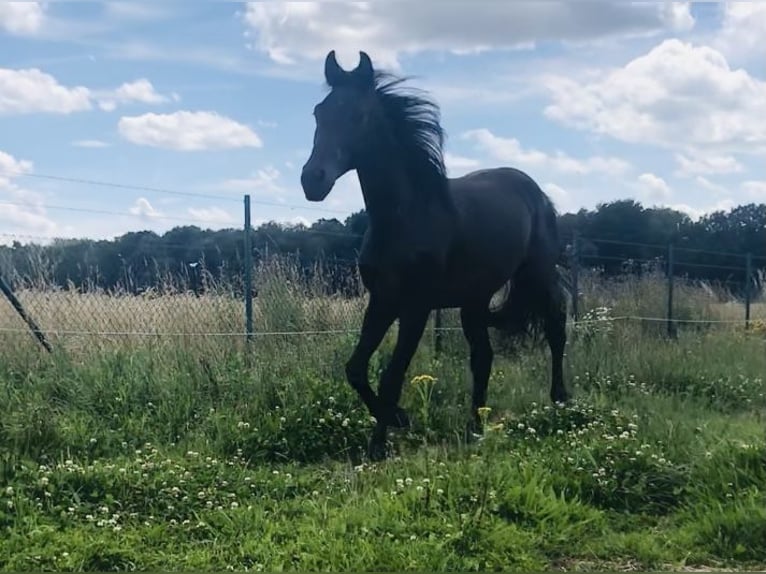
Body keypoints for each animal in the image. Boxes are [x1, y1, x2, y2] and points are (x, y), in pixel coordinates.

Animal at [300, 50, 568, 464]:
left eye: (359, 115)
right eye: (318, 112)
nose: (312, 180)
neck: (407, 216)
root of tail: (537, 193)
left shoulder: (416, 307)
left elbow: (391, 376)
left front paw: (382, 439)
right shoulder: (381, 301)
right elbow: (356, 368)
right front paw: (399, 418)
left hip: (540, 276)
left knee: (556, 327)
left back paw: (560, 401)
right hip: (474, 301)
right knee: (483, 357)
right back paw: (476, 426)